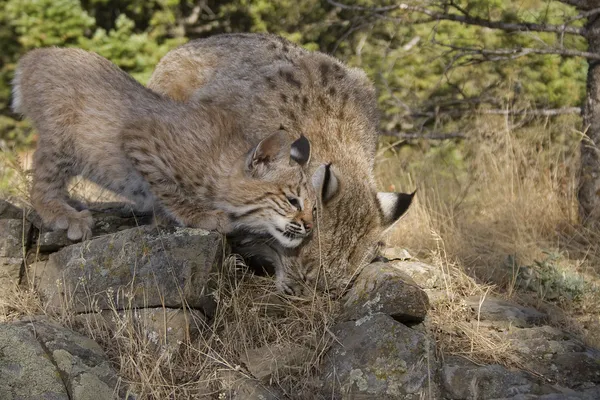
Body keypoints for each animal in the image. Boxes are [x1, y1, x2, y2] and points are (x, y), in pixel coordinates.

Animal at [11, 46, 316, 247]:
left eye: (314, 208)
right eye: (292, 201)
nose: (310, 228)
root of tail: (37, 53)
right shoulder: (139, 136)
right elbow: (169, 188)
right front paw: (200, 216)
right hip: (62, 141)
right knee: (39, 187)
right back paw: (64, 214)